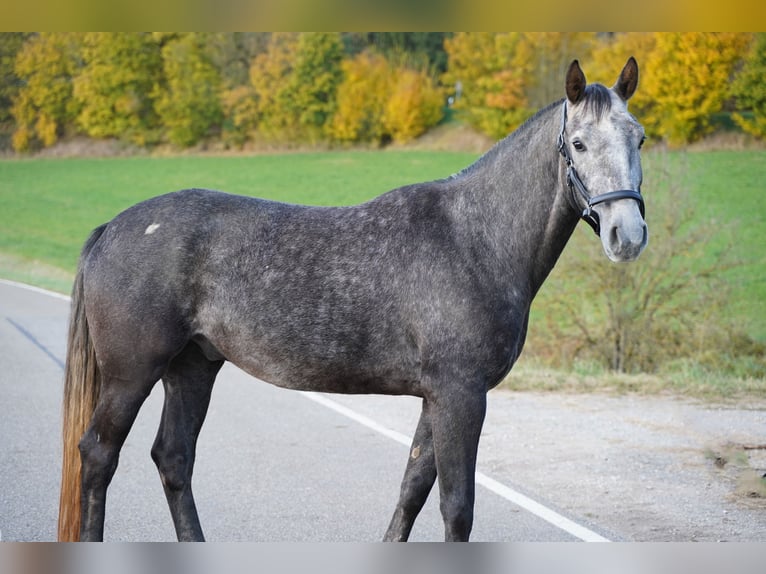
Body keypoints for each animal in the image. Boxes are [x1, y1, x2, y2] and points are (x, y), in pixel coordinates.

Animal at [58, 58, 647, 542]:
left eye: (638, 139)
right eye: (578, 144)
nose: (628, 234)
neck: (475, 236)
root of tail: (113, 227)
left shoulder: (438, 397)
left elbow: (412, 491)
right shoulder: (461, 394)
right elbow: (456, 508)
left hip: (193, 367)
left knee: (174, 459)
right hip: (132, 374)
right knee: (99, 455)